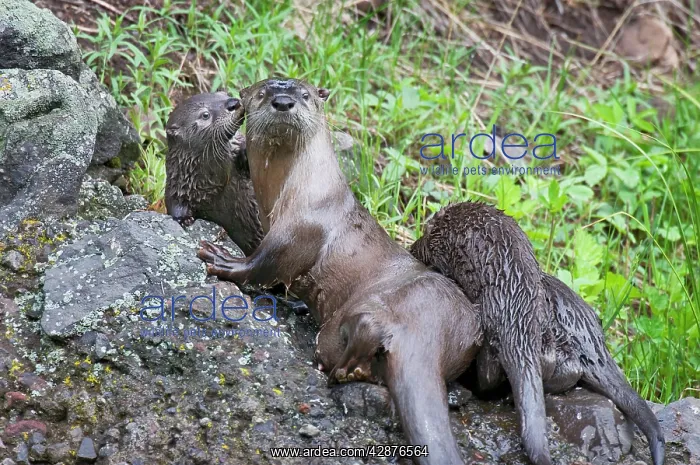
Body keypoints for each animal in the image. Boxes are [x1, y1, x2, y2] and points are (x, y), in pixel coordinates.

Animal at [165, 92, 263, 256]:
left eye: (224, 93)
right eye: (205, 115)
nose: (233, 103)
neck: (215, 182)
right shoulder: (178, 183)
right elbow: (174, 205)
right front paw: (184, 219)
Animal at [197, 78, 483, 465]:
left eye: (304, 95)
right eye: (263, 92)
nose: (283, 101)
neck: (303, 190)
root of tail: (425, 333)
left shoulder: (297, 230)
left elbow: (265, 263)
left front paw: (226, 261)